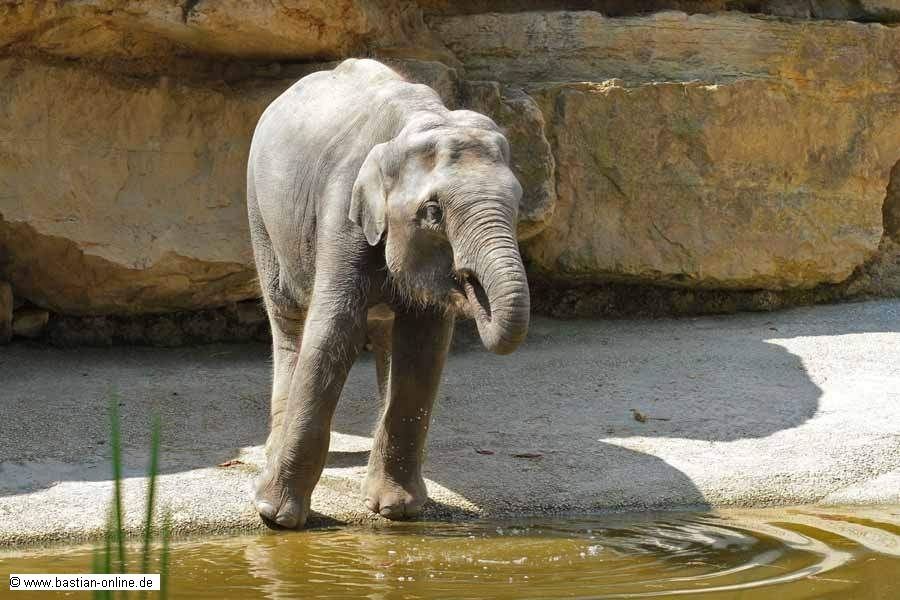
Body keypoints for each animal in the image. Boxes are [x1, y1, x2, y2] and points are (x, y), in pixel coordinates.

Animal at [246, 58, 530, 529]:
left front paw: (397, 510)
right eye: (433, 212)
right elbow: (334, 331)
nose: (470, 281)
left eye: (519, 204)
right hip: (260, 212)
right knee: (286, 316)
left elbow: (423, 346)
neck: (419, 121)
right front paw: (276, 517)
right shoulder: (341, 211)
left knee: (385, 337)